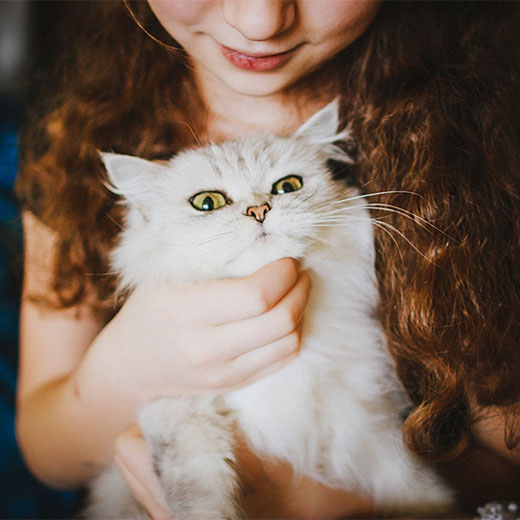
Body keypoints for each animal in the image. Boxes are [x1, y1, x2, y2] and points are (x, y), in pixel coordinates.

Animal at [88, 102, 450, 520]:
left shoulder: (364, 424)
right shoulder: (179, 415)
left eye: (288, 186)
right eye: (207, 203)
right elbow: (202, 493)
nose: (259, 210)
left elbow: (413, 485)